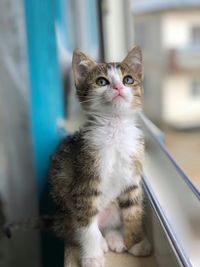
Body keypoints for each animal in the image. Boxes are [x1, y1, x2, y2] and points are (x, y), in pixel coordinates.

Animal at [49, 46, 151, 267]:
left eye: (128, 79)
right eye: (102, 82)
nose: (118, 87)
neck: (115, 129)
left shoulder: (132, 175)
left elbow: (132, 210)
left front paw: (136, 243)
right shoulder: (84, 179)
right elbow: (87, 225)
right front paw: (92, 257)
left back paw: (114, 238)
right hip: (65, 212)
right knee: (80, 228)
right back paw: (101, 243)